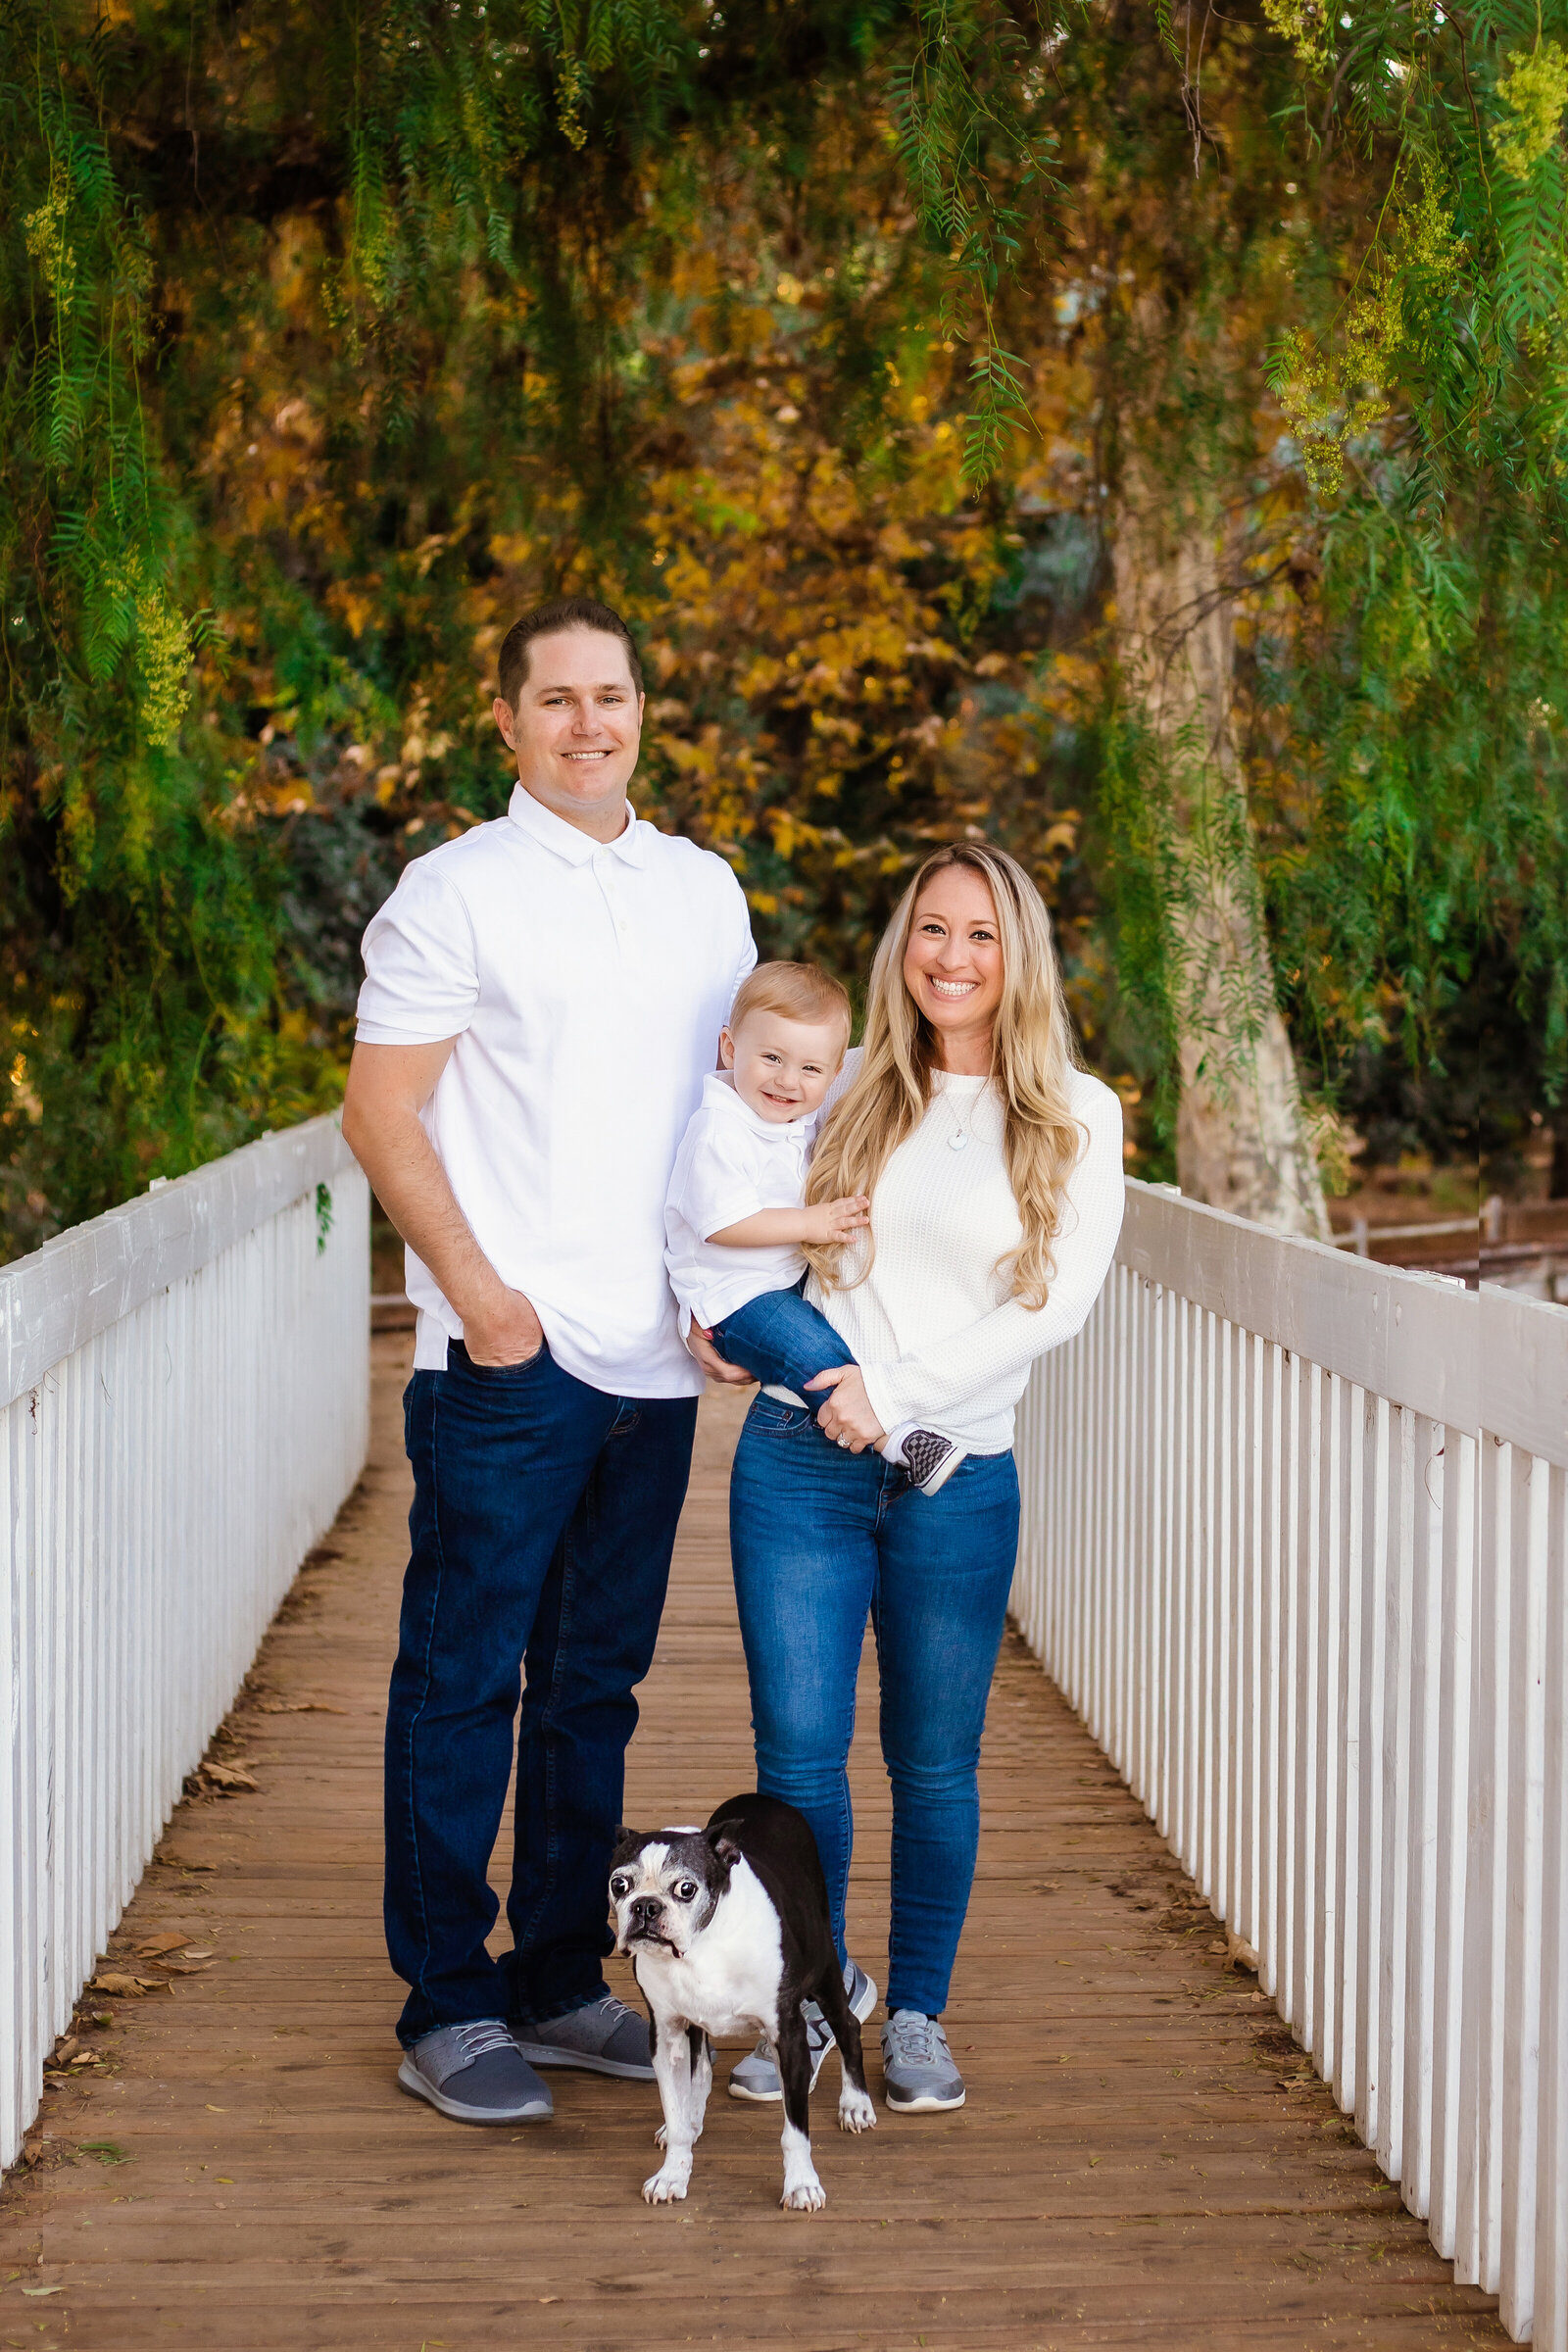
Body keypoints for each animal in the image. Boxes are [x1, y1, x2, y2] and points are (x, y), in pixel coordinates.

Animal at [611, 1788, 879, 2211]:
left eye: (686, 1889)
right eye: (619, 1885)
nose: (646, 1906)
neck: (701, 1946)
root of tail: (764, 1798)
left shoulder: (788, 2033)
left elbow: (795, 2131)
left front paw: (801, 2185)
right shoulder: (666, 2036)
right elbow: (677, 2108)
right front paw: (673, 2173)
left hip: (824, 1970)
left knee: (848, 2025)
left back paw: (855, 2104)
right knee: (701, 2069)